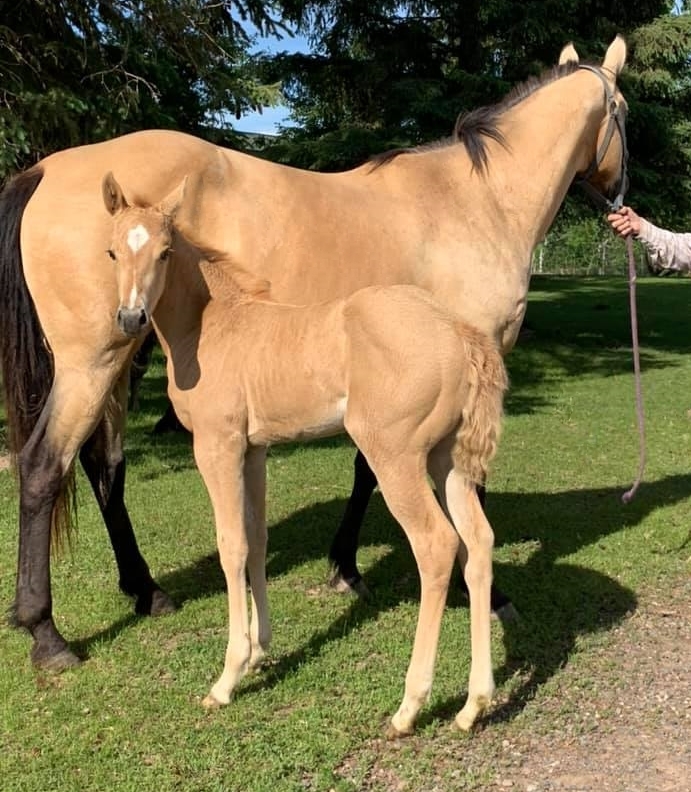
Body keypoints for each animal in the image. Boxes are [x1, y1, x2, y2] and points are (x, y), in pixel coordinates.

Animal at [0, 37, 627, 671]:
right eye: (624, 110)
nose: (620, 197)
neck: (476, 201)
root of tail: (47, 168)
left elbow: (367, 470)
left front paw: (345, 567)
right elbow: (462, 484)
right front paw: (491, 597)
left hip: (121, 359)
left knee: (104, 465)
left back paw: (146, 591)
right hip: (92, 362)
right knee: (43, 466)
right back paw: (46, 634)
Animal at [103, 171, 508, 735]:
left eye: (164, 252)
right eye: (113, 251)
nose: (131, 318)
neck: (212, 326)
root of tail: (459, 331)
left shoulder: (217, 447)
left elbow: (231, 546)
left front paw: (227, 678)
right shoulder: (253, 451)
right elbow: (257, 540)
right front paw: (259, 651)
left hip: (396, 458)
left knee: (436, 545)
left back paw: (409, 707)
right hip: (446, 459)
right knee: (478, 543)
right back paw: (474, 704)